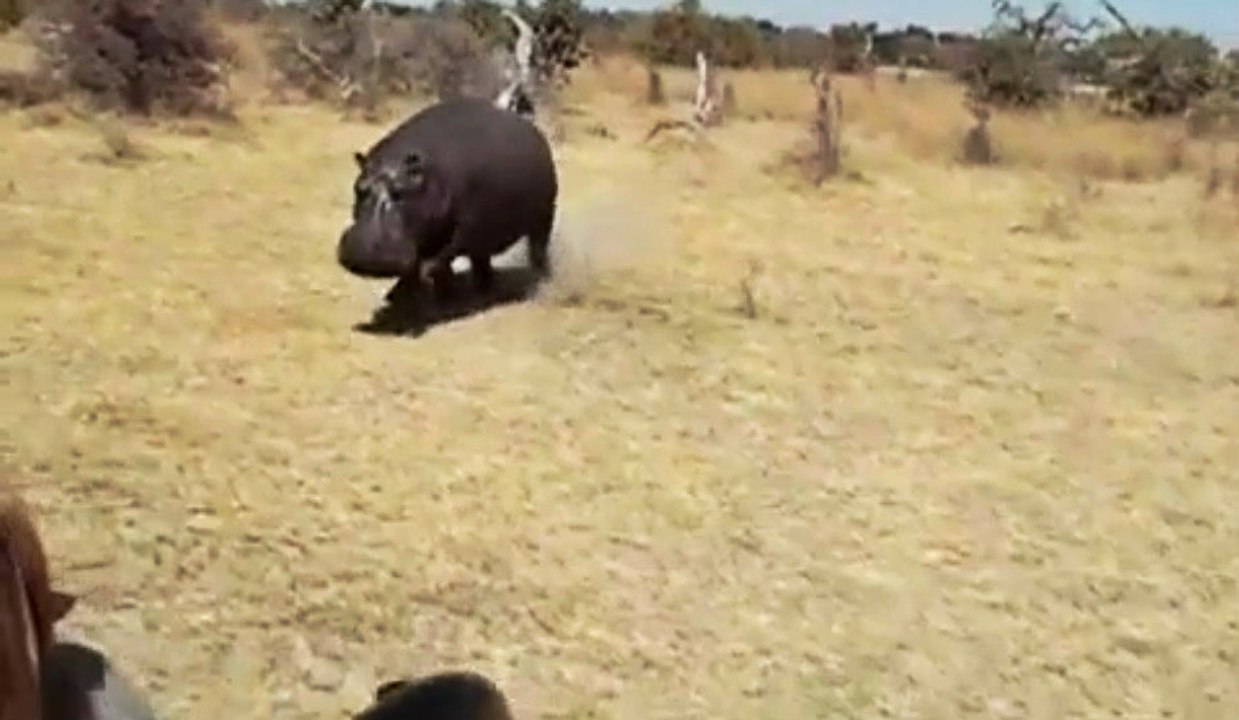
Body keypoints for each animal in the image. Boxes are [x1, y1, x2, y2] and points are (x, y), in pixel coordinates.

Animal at [336, 96, 558, 313]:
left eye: (400, 192)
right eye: (359, 187)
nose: (362, 251)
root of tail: (534, 130)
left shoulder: (461, 230)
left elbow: (435, 261)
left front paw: (410, 291)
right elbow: (431, 266)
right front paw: (427, 297)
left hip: (543, 217)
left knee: (538, 249)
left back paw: (540, 281)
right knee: (481, 261)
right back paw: (482, 289)